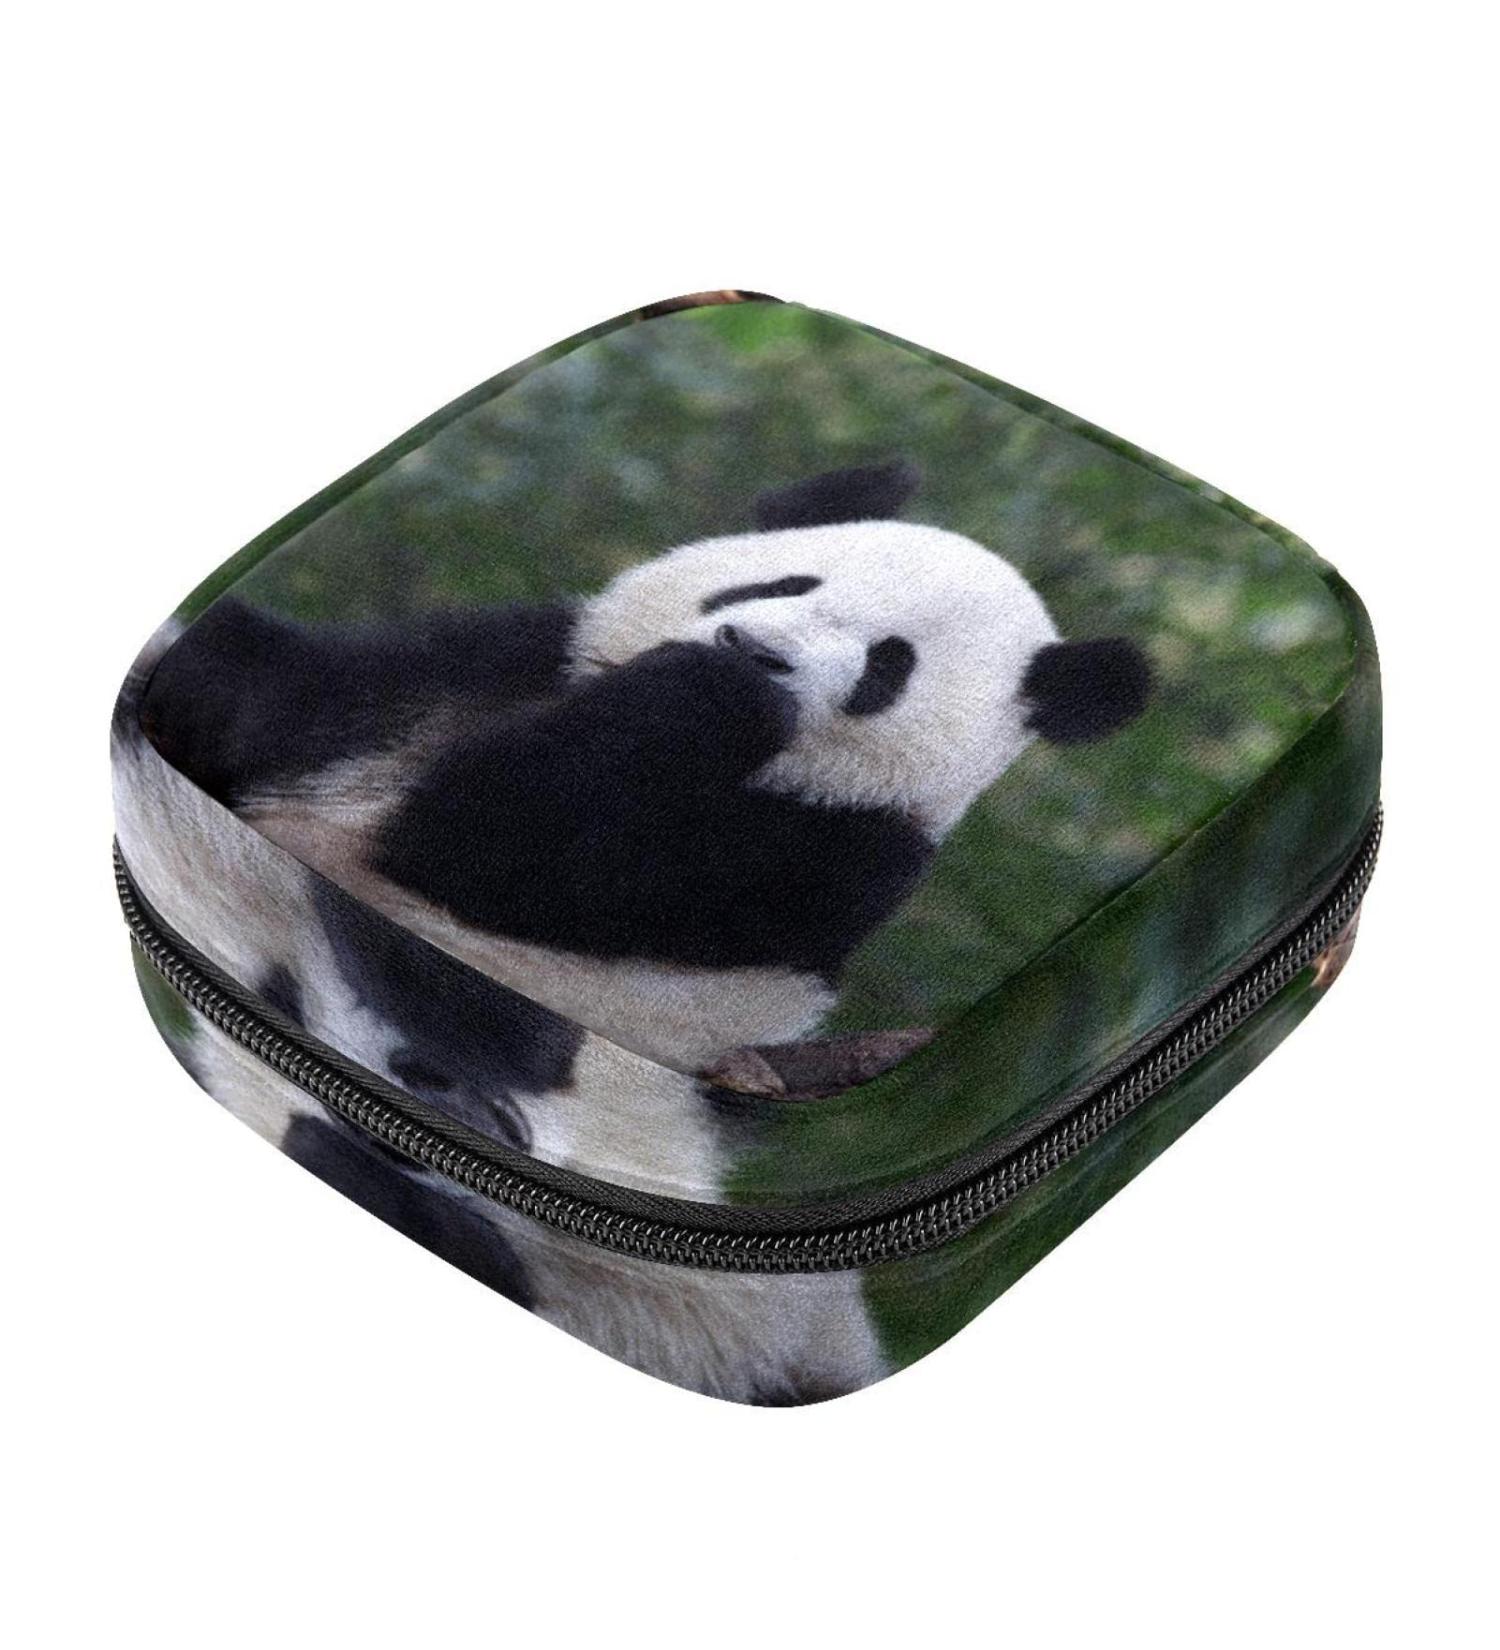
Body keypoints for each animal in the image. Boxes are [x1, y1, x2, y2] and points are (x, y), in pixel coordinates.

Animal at [116, 459, 1150, 1401]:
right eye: (783, 584)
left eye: (885, 666)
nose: (751, 648)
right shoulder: (499, 663)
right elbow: (292, 692)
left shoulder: (817, 861)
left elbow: (510, 845)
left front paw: (712, 694)